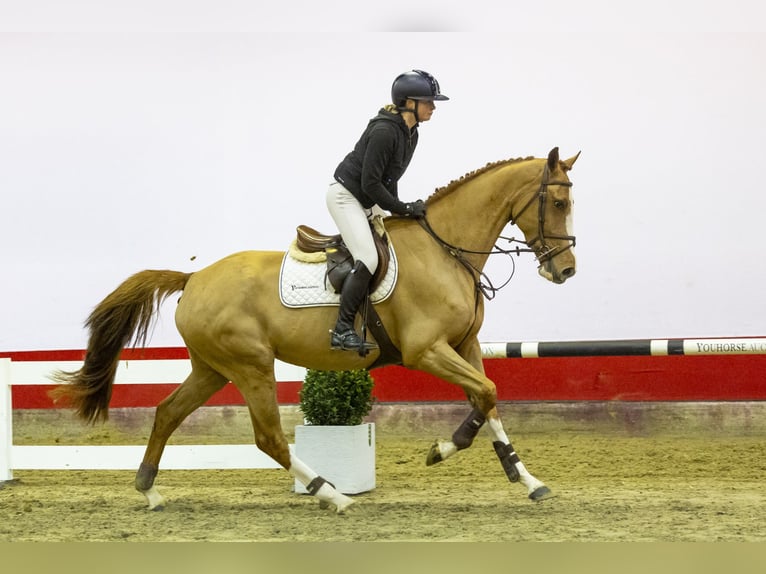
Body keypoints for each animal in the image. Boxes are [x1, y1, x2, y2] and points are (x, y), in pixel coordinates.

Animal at [52, 146, 584, 516]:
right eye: (558, 202)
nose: (566, 271)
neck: (445, 249)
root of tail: (193, 277)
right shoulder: (427, 350)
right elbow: (487, 392)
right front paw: (442, 449)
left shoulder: (464, 345)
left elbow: (487, 399)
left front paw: (526, 478)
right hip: (251, 366)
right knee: (268, 437)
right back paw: (332, 495)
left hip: (212, 369)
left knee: (166, 413)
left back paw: (150, 491)